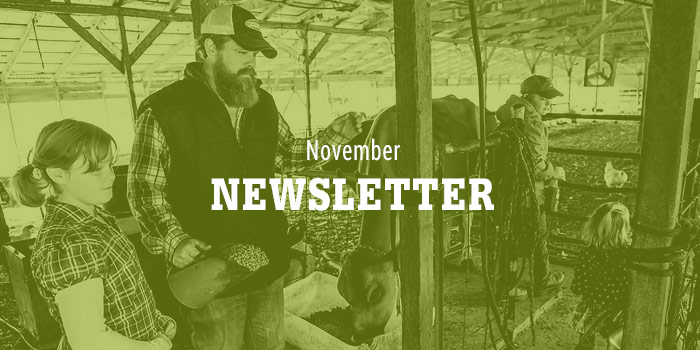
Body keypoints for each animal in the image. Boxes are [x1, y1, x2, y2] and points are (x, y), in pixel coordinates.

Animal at [322, 94, 498, 344]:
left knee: (467, 216)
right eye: (343, 293)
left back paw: (465, 256)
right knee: (447, 217)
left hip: (474, 176)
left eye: (375, 295)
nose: (359, 337)